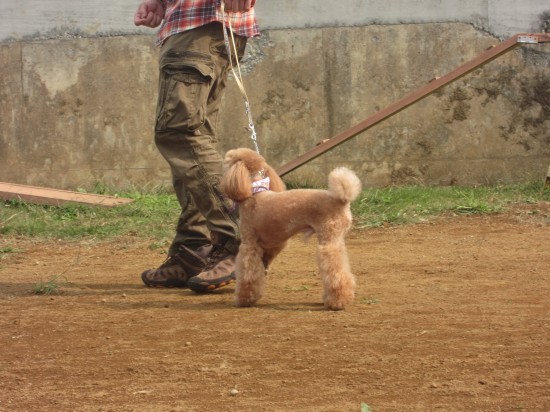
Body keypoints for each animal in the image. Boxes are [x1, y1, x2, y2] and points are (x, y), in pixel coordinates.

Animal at [220, 147, 362, 308]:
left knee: (336, 272)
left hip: (328, 240)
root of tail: (342, 199)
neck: (254, 192)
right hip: (336, 239)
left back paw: (337, 302)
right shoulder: (271, 245)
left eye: (228, 161)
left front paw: (244, 299)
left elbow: (247, 273)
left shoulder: (249, 245)